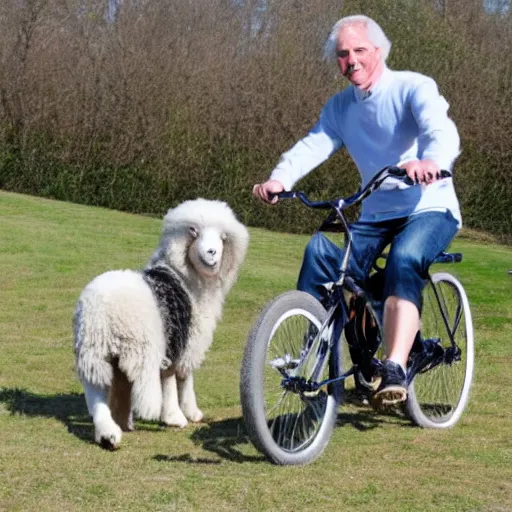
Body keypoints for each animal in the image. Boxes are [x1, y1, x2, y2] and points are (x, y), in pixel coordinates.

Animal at [73, 199, 249, 448]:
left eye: (222, 237)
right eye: (194, 231)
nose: (212, 253)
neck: (184, 279)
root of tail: (100, 308)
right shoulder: (182, 341)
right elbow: (179, 378)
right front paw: (181, 414)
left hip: (94, 351)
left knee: (97, 389)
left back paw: (109, 431)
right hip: (139, 347)